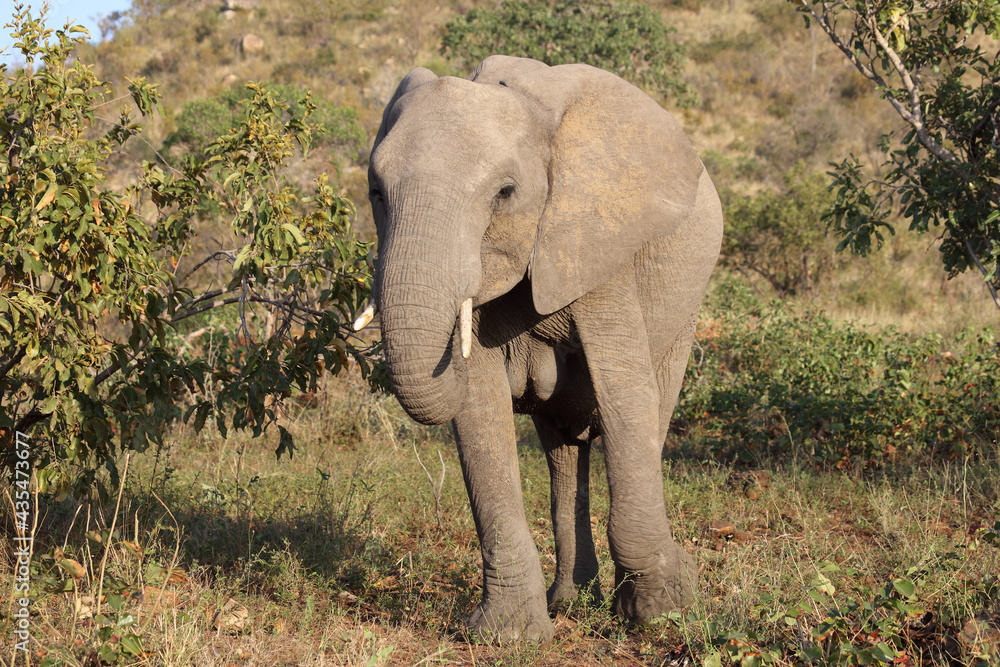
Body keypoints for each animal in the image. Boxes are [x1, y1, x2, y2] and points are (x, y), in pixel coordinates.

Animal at [353, 55, 723, 643]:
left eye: (505, 192)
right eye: (376, 192)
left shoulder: (597, 244)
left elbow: (625, 397)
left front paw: (663, 612)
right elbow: (478, 415)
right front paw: (506, 637)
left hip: (685, 309)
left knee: (650, 411)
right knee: (564, 449)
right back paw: (571, 601)